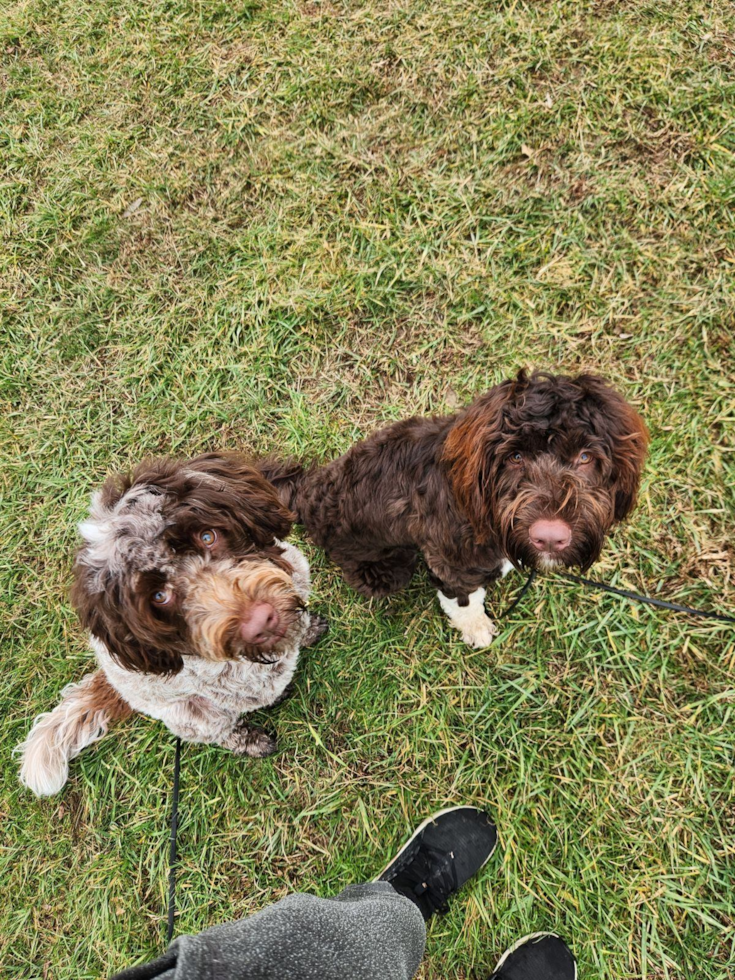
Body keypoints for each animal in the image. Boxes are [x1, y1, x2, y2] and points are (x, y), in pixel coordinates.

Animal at [16, 454, 328, 796]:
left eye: (208, 536)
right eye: (159, 596)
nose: (260, 622)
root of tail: (111, 682)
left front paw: (308, 629)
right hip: (191, 715)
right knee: (219, 729)